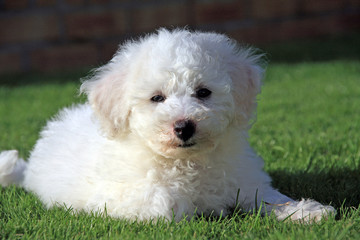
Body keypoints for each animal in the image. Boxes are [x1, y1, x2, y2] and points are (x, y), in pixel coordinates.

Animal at [0, 29, 334, 222]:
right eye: (156, 98)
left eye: (203, 92)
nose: (184, 127)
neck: (186, 162)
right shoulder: (113, 196)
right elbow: (165, 201)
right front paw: (195, 207)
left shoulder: (244, 178)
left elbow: (267, 196)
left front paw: (305, 211)